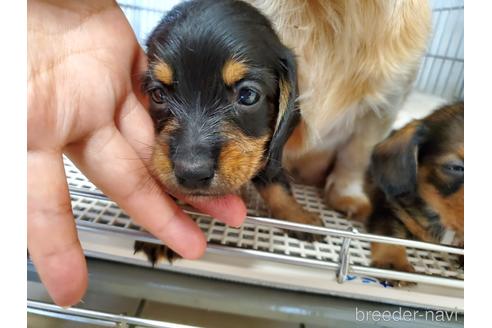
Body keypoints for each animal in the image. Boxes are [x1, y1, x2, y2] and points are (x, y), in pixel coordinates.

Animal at [136, 0, 324, 266]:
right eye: (158, 95)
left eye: (248, 95)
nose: (192, 173)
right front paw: (162, 235)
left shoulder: (270, 152)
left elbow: (277, 185)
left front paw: (297, 216)